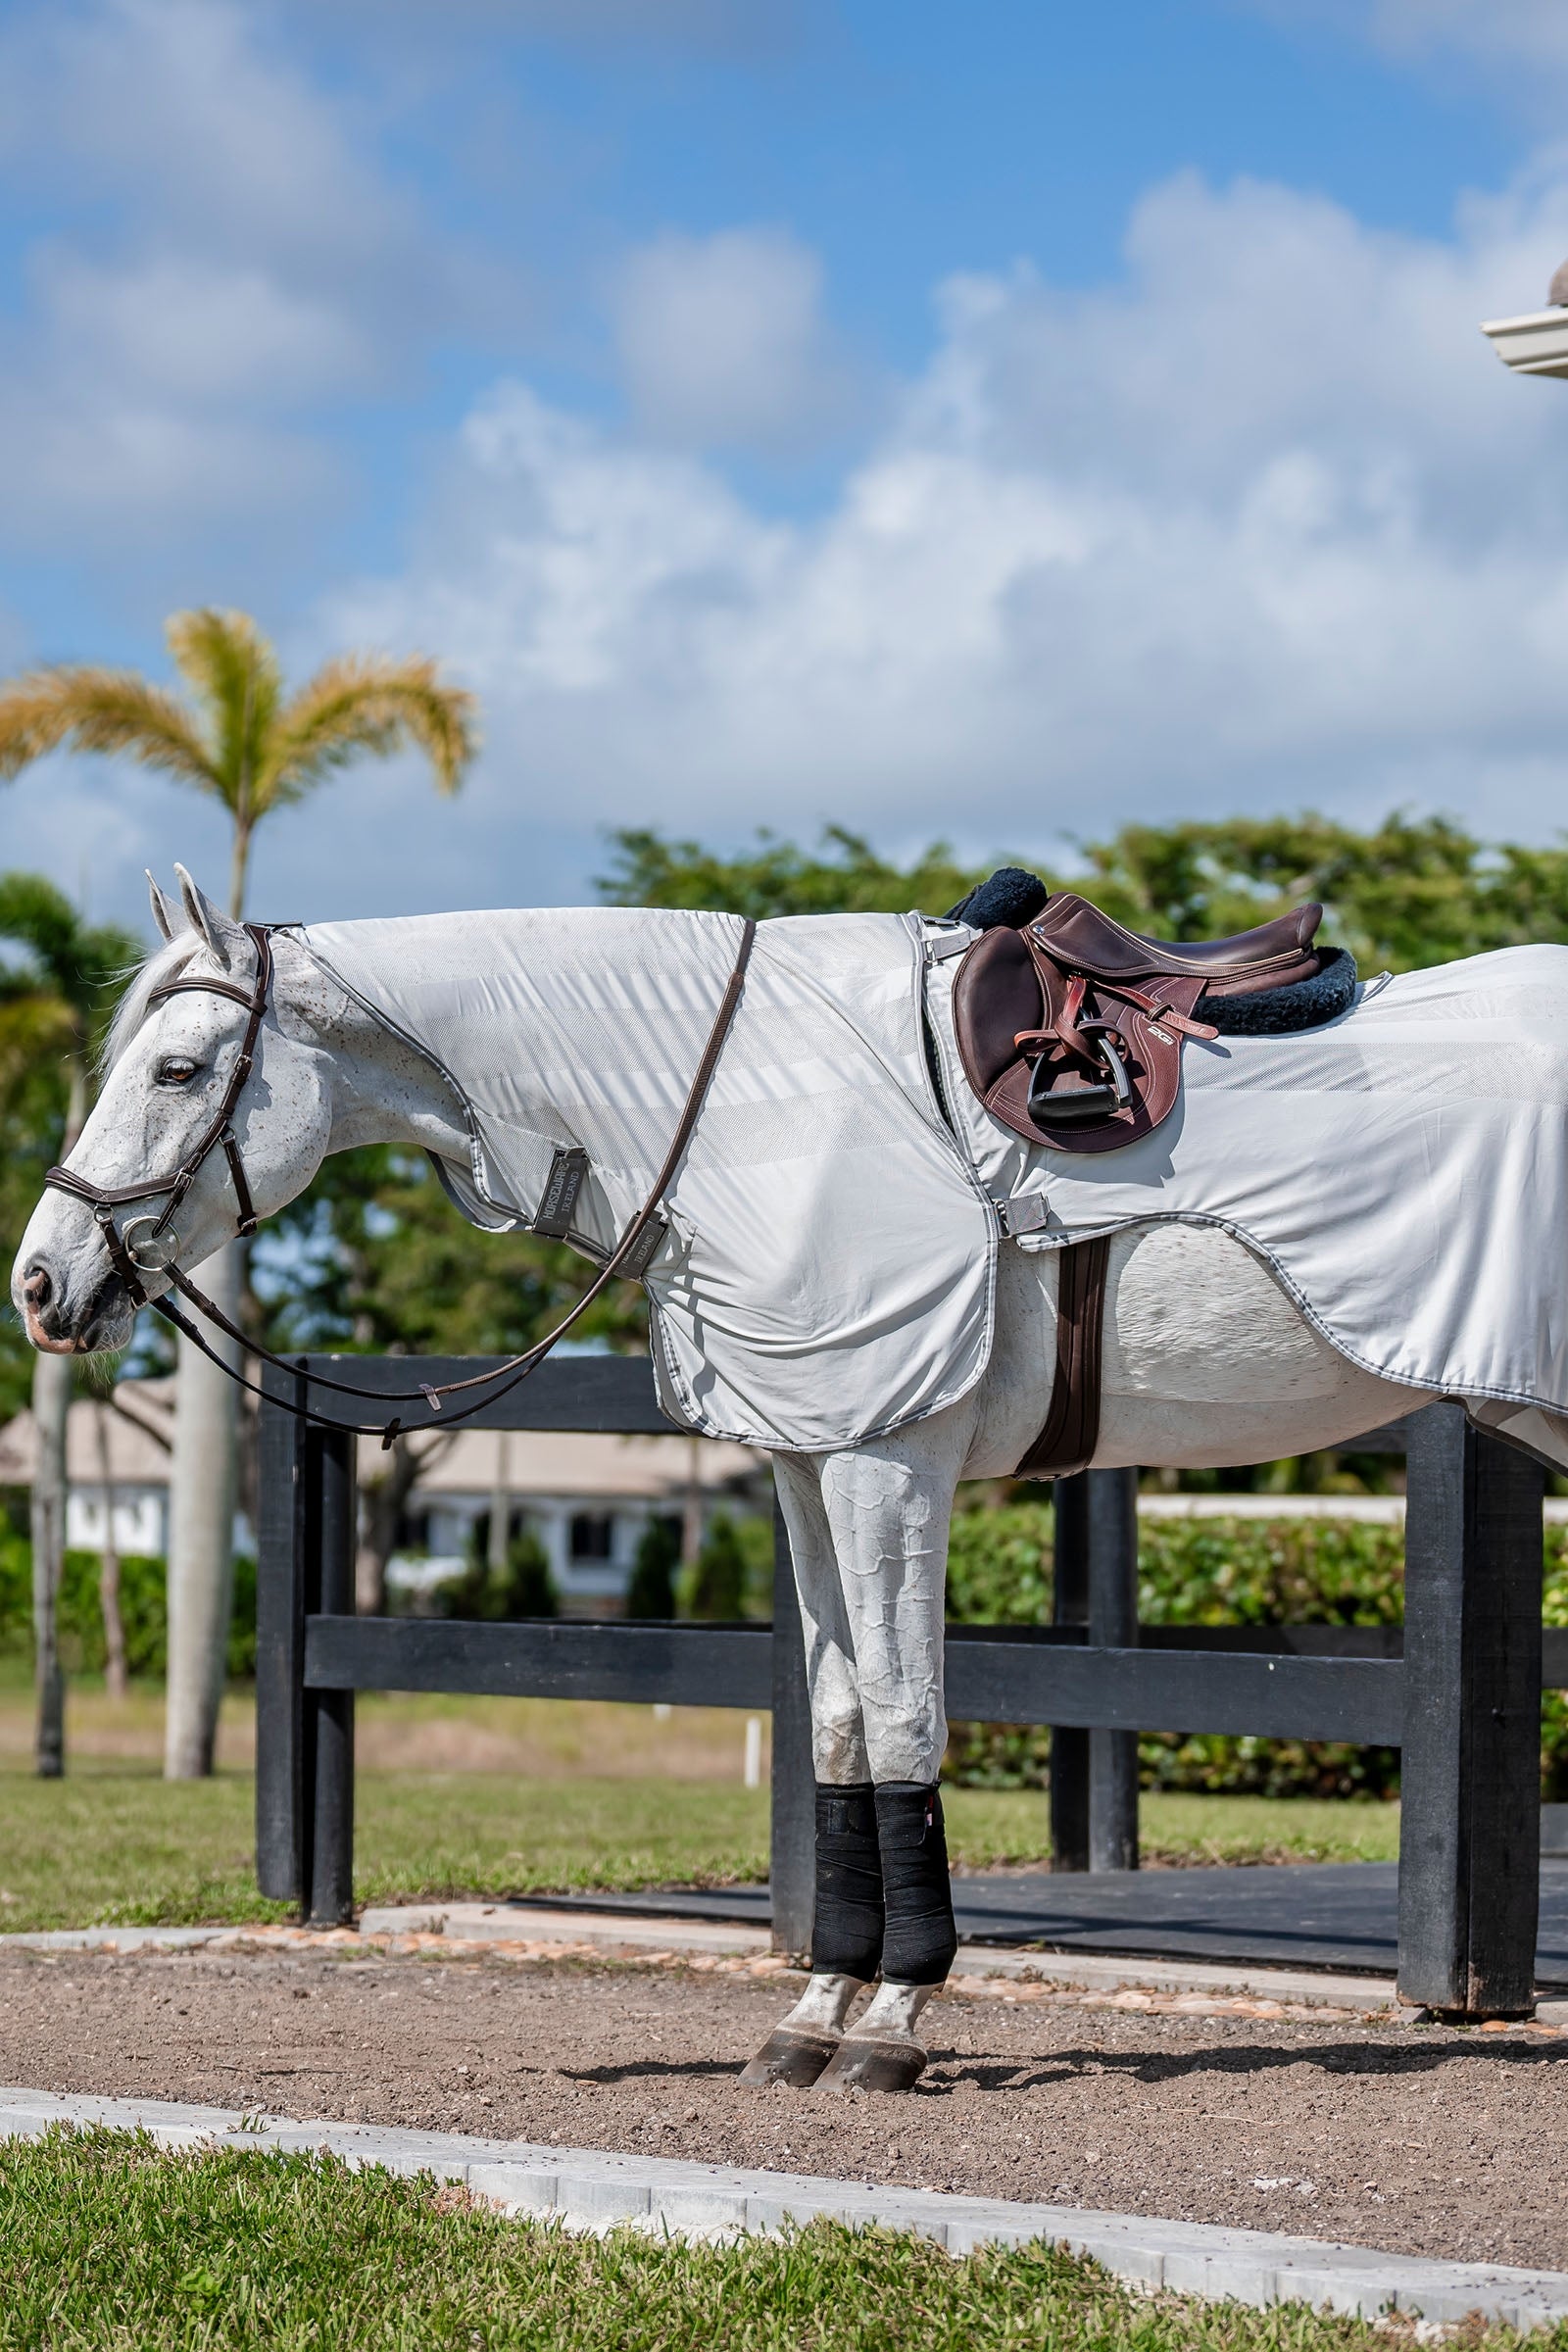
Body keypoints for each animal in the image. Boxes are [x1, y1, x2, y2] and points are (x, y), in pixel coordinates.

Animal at [14, 864, 1562, 2093]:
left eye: (173, 1071)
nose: (41, 1283)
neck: (743, 1107)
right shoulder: (813, 1464)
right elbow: (837, 1730)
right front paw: (815, 2013)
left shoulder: (887, 1457)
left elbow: (906, 1717)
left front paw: (893, 2019)